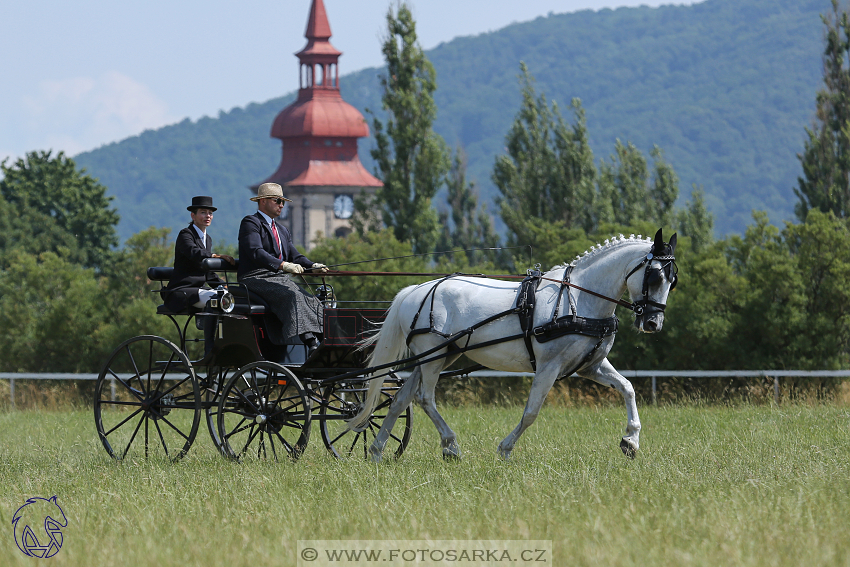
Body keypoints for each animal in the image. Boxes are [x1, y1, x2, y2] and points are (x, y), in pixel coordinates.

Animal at [346, 229, 676, 460]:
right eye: (655, 276)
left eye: (673, 281)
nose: (653, 323)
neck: (580, 298)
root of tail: (416, 290)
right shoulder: (549, 367)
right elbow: (531, 412)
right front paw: (505, 448)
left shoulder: (591, 366)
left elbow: (627, 388)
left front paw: (631, 440)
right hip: (434, 355)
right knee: (425, 398)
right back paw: (450, 446)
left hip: (440, 356)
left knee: (402, 398)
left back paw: (377, 451)